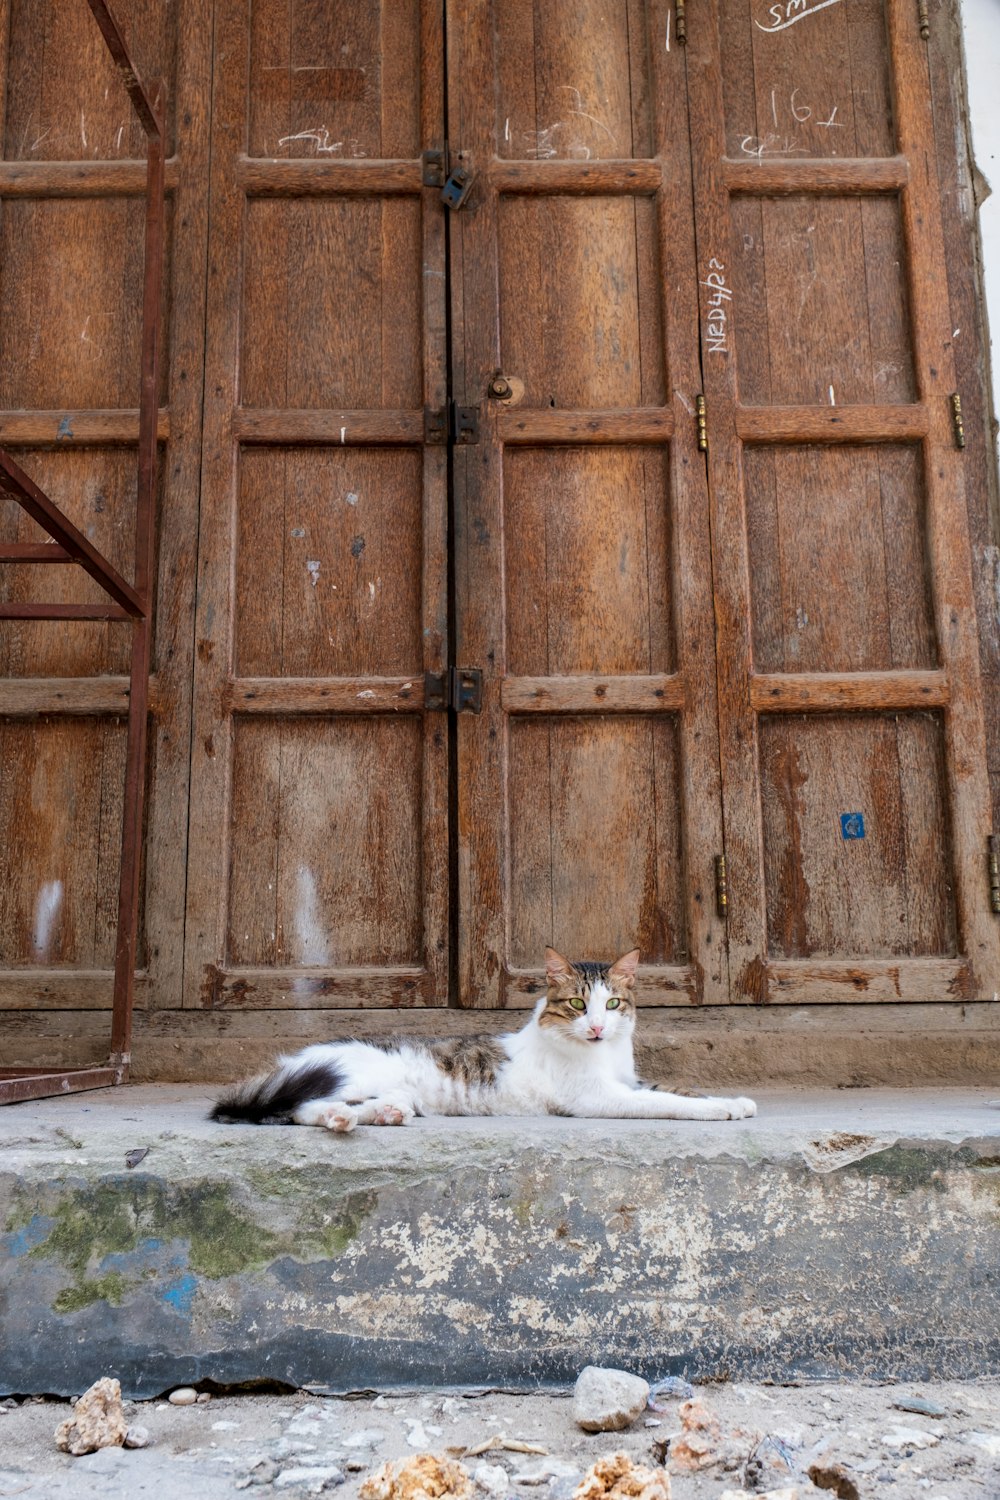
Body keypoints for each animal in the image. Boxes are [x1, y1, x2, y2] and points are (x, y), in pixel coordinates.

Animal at [212, 948, 758, 1128]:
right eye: (577, 1005)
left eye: (613, 1005)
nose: (598, 1027)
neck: (604, 1055)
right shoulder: (598, 1097)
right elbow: (669, 1103)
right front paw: (716, 1110)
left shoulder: (630, 1081)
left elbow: (676, 1089)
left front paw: (734, 1102)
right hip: (340, 1075)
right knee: (300, 1108)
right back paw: (339, 1120)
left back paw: (386, 1114)